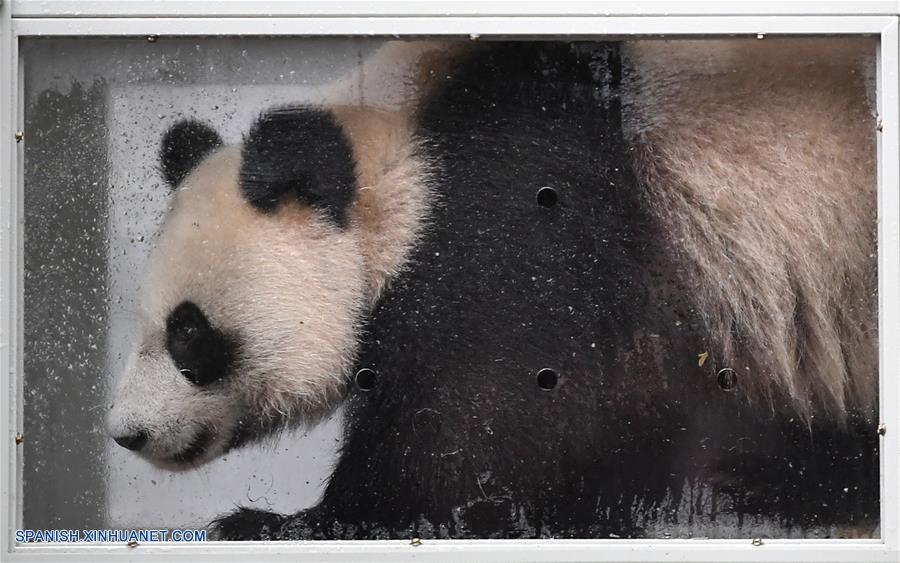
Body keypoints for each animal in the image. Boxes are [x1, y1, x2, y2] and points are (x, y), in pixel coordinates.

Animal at [107, 39, 879, 539]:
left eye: (188, 332)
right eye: (147, 323)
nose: (126, 433)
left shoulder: (527, 227)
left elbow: (488, 428)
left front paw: (283, 522)